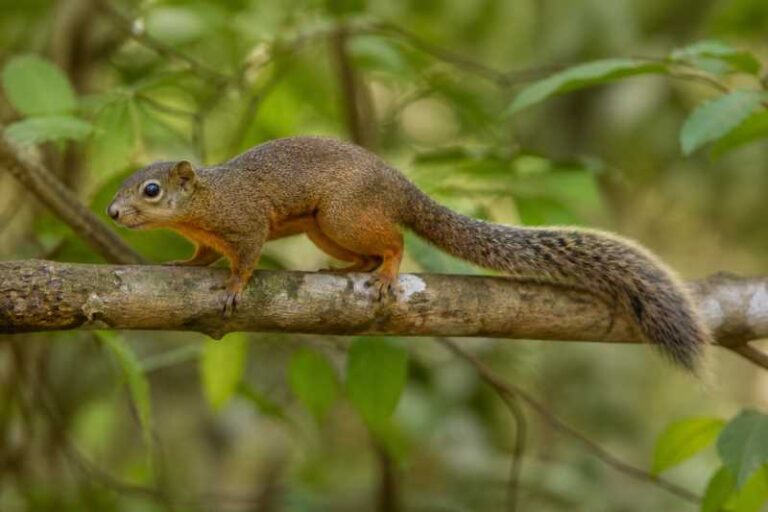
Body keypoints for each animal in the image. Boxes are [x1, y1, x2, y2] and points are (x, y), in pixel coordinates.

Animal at [107, 136, 709, 370]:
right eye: (125, 183)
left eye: (151, 190)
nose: (112, 212)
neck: (205, 201)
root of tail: (398, 187)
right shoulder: (208, 238)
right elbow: (201, 259)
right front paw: (181, 265)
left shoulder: (247, 222)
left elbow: (247, 257)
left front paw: (235, 287)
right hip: (325, 228)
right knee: (367, 250)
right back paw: (347, 268)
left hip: (343, 215)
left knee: (393, 241)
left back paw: (387, 271)